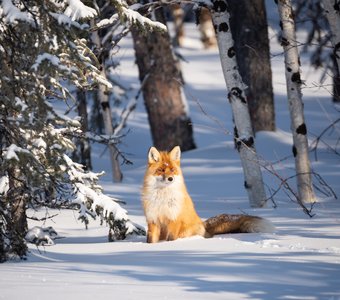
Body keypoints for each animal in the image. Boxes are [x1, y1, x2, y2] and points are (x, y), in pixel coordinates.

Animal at [142, 146, 274, 244]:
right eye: (161, 170)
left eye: (172, 170)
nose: (170, 178)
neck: (162, 197)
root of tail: (203, 225)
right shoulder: (152, 219)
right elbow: (151, 240)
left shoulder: (174, 219)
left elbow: (171, 239)